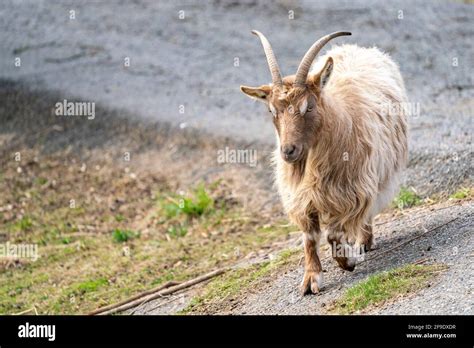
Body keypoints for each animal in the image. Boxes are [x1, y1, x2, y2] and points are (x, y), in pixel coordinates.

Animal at [241, 32, 408, 294]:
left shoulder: (350, 190)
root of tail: (357, 48)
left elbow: (333, 233)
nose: (288, 151)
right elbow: (309, 238)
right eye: (272, 111)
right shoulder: (302, 198)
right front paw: (311, 279)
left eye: (308, 106)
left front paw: (348, 260)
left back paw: (364, 241)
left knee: (367, 211)